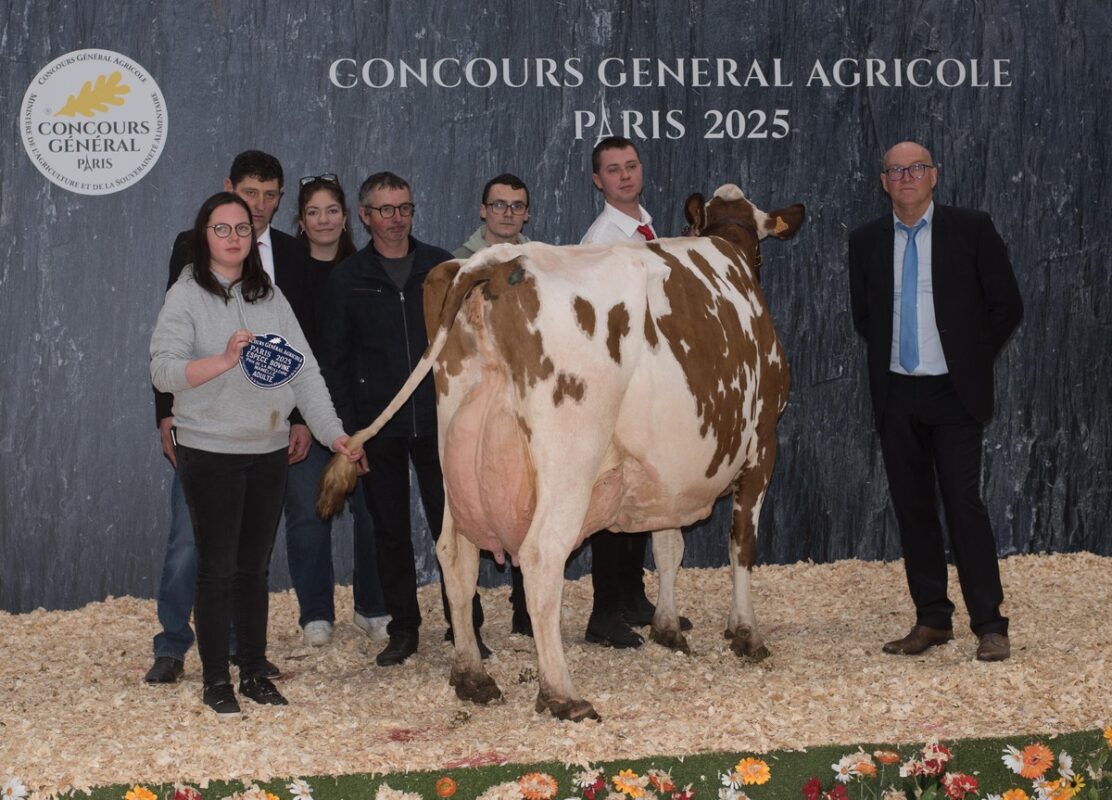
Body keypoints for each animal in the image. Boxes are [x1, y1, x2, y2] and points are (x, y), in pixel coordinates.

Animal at [318, 184, 805, 721]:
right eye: (761, 252)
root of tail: (497, 262)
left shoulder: (671, 470)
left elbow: (668, 547)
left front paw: (667, 626)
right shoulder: (762, 444)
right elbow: (742, 543)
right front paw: (746, 634)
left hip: (454, 458)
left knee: (455, 556)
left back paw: (472, 677)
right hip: (569, 460)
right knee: (541, 556)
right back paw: (562, 693)